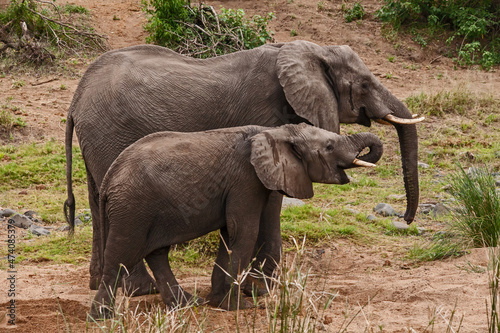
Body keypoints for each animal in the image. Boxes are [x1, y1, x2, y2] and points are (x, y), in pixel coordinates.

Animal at [63, 39, 422, 296]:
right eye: (364, 85)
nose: (405, 220)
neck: (307, 50)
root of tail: (77, 97)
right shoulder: (265, 116)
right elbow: (271, 200)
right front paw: (259, 291)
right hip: (111, 132)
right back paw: (139, 290)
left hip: (98, 138)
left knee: (98, 200)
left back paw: (102, 284)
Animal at [91, 122, 382, 316]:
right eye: (329, 146)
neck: (275, 132)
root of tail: (108, 177)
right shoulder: (246, 179)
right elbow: (243, 232)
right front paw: (238, 306)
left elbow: (229, 235)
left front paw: (217, 301)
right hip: (132, 208)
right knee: (120, 255)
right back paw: (102, 317)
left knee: (157, 253)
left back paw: (186, 304)